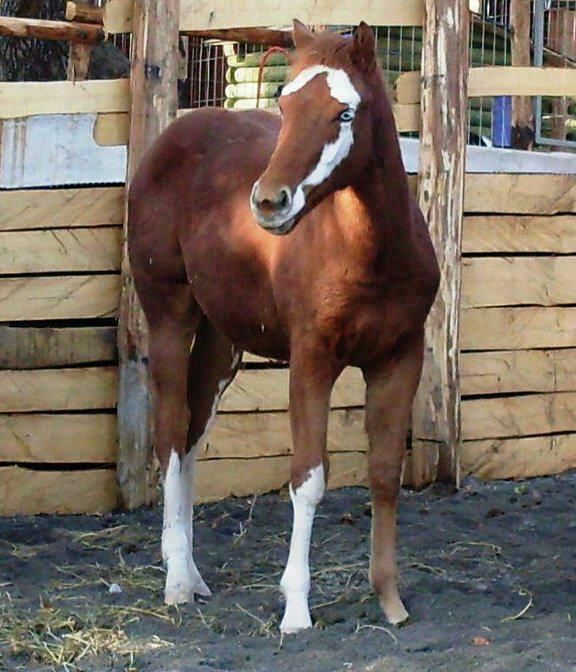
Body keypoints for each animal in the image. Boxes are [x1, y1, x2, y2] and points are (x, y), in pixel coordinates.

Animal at [129, 19, 436, 632]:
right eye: (285, 104)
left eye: (345, 112)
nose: (270, 203)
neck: (369, 253)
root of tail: (171, 138)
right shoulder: (312, 359)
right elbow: (308, 480)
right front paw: (295, 608)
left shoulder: (400, 358)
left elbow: (385, 472)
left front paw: (389, 599)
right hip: (169, 317)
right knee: (171, 432)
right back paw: (176, 582)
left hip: (221, 345)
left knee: (193, 436)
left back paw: (194, 575)